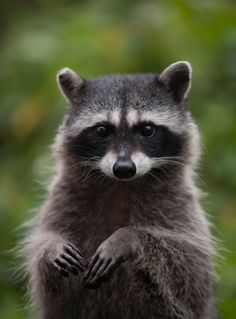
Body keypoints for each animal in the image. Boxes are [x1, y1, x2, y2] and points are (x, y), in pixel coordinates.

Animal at [21, 61, 216, 318]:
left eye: (147, 130)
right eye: (102, 130)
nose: (124, 168)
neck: (120, 185)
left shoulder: (181, 206)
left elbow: (189, 272)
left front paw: (128, 237)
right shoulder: (63, 198)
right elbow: (46, 279)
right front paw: (50, 247)